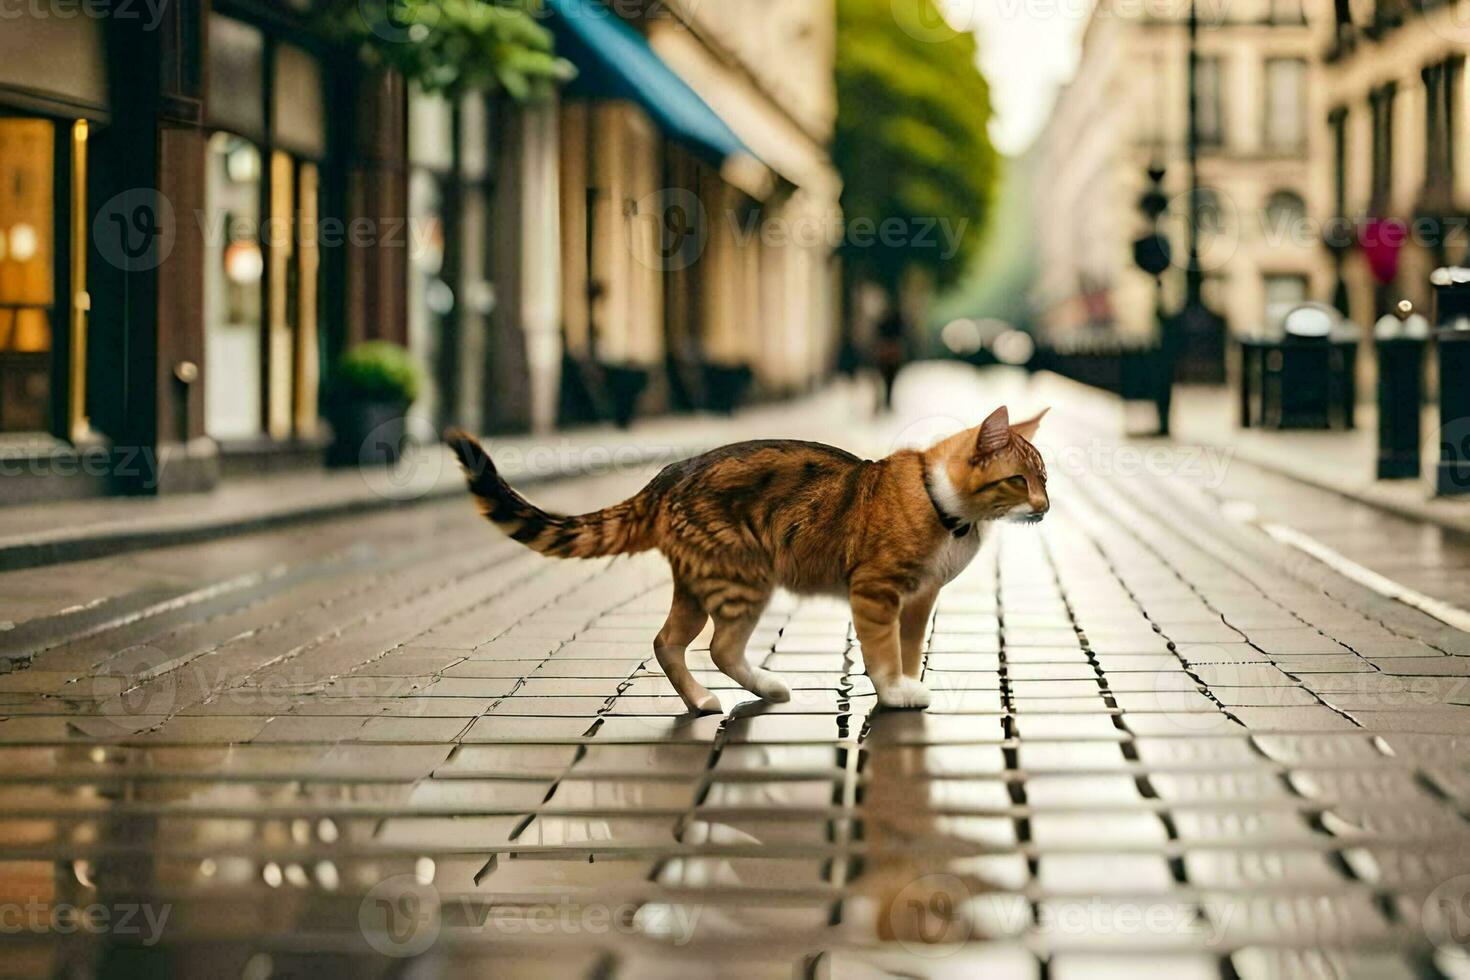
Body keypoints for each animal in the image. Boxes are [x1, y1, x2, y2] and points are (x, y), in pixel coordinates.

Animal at [443, 405, 1046, 714]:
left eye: (1045, 478)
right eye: (1020, 480)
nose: (1044, 507)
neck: (948, 510)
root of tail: (669, 474)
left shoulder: (920, 598)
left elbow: (909, 645)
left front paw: (905, 679)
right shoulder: (876, 591)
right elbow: (882, 651)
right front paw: (895, 691)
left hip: (699, 581)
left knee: (667, 642)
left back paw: (702, 701)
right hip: (743, 576)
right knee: (719, 646)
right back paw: (768, 687)